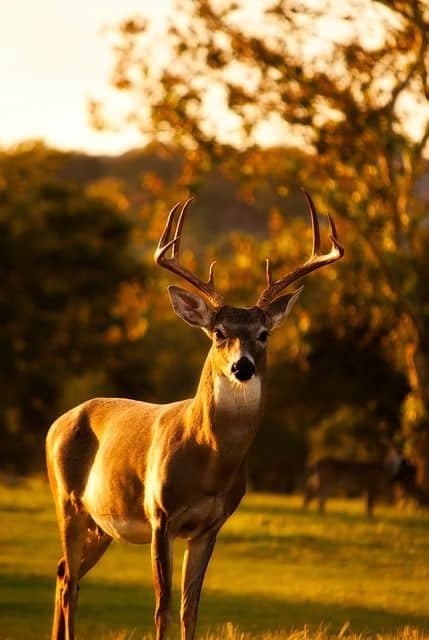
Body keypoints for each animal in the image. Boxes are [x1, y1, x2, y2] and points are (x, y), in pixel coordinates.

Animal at [45, 191, 342, 640]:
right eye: (219, 333)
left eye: (263, 334)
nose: (242, 366)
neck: (208, 461)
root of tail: (56, 424)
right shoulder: (160, 515)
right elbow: (162, 608)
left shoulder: (210, 526)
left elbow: (190, 610)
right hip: (67, 501)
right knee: (70, 582)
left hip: (101, 522)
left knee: (65, 573)